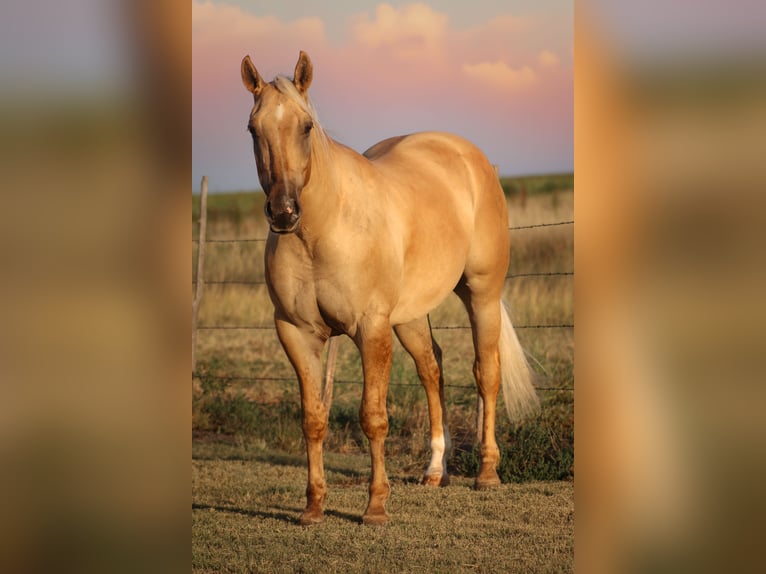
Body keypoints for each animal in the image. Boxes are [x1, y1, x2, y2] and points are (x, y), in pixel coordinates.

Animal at [241, 51, 539, 525]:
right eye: (254, 129)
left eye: (306, 126)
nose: (284, 211)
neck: (320, 230)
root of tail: (472, 158)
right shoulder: (296, 333)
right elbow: (313, 419)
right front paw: (313, 507)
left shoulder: (371, 330)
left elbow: (374, 417)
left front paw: (376, 506)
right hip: (411, 316)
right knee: (432, 370)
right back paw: (436, 471)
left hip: (482, 294)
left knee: (486, 373)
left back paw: (487, 473)